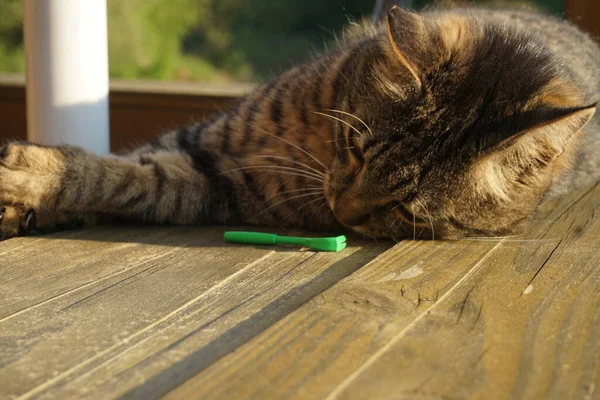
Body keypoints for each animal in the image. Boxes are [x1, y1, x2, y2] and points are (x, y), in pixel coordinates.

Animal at [1, 5, 600, 241]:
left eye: (404, 210)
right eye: (356, 148)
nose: (343, 212)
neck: (310, 143)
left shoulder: (211, 185)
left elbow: (129, 180)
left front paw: (33, 190)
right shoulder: (201, 141)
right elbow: (115, 166)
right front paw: (33, 189)